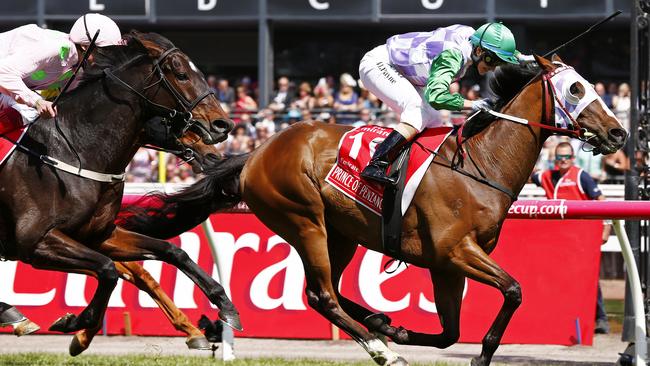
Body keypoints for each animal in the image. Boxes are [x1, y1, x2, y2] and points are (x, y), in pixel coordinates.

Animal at [0, 29, 240, 348]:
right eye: (181, 75)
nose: (222, 125)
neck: (74, 149)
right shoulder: (36, 242)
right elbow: (107, 270)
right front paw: (76, 322)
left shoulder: (98, 235)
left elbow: (171, 252)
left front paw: (225, 306)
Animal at [119, 55, 624, 366]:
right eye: (575, 88)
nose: (618, 133)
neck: (480, 163)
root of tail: (258, 151)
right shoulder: (455, 251)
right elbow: (514, 291)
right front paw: (478, 353)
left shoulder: (447, 263)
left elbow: (449, 332)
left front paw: (397, 328)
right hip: (305, 221)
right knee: (321, 295)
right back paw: (383, 350)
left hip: (339, 234)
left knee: (328, 292)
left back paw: (380, 327)